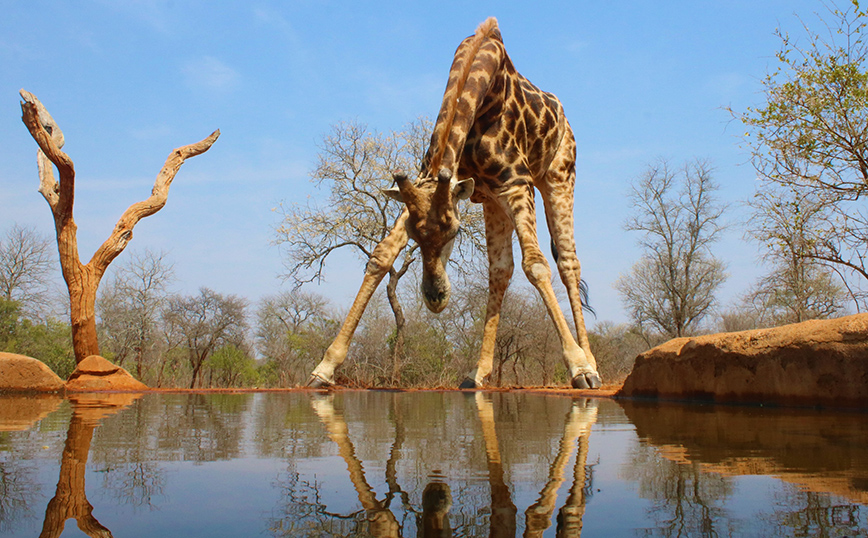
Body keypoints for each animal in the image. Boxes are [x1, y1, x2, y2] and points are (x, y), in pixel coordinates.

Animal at [308, 15, 600, 386]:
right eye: (416, 237)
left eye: (455, 233)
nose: (435, 299)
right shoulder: (430, 191)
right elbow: (380, 258)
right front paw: (324, 368)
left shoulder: (517, 184)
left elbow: (536, 265)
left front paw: (579, 367)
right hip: (492, 200)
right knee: (500, 270)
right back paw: (478, 373)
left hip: (559, 177)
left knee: (567, 263)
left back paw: (591, 364)